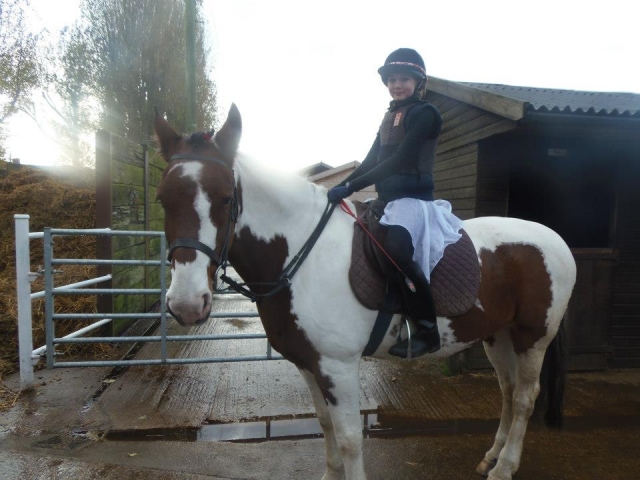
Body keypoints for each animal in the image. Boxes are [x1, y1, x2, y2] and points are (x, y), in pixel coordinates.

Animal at [154, 105, 577, 480]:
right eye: (162, 198)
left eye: (227, 197)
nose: (187, 303)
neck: (303, 252)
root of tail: (555, 238)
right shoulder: (309, 363)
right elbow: (324, 425)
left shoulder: (338, 365)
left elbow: (348, 439)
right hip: (497, 335)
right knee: (507, 390)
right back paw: (492, 456)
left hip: (532, 338)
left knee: (524, 398)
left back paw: (505, 468)